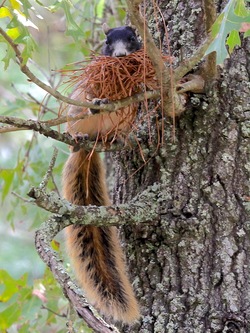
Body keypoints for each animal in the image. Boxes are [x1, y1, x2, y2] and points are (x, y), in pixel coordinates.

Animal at [61, 25, 142, 322]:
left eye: (132, 38)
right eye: (107, 42)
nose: (119, 55)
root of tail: (91, 145)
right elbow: (93, 92)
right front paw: (98, 100)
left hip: (124, 119)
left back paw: (114, 138)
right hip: (74, 114)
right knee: (77, 122)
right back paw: (79, 135)